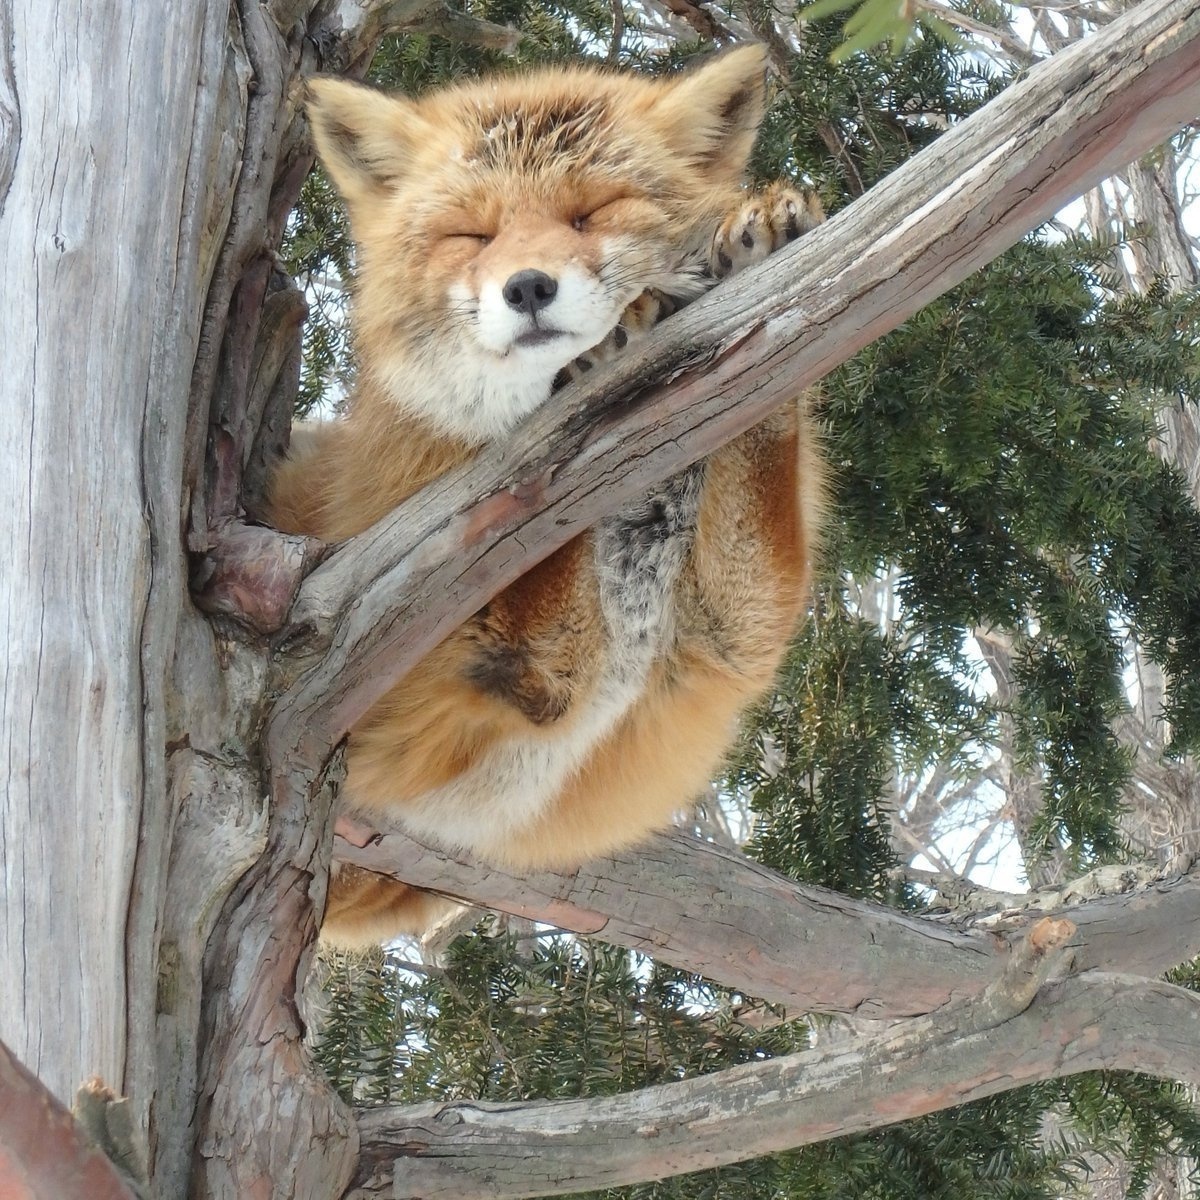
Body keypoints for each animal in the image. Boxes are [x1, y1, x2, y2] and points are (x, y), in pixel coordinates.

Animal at [265, 46, 825, 945]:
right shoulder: (459, 672)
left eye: (589, 213)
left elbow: (760, 402)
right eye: (474, 234)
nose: (527, 287)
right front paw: (593, 372)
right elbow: (540, 508)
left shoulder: (735, 636)